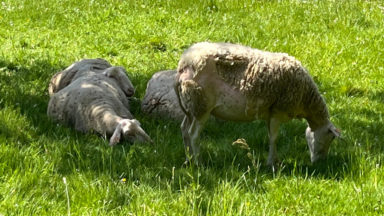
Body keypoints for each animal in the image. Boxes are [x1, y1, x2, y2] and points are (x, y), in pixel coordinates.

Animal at [176, 42, 340, 167]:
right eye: (330, 138)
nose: (319, 163)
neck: (306, 98)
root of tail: (185, 62)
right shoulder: (278, 111)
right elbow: (274, 137)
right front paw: (272, 164)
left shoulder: (270, 113)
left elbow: (270, 136)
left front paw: (275, 161)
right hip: (201, 104)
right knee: (193, 133)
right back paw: (198, 162)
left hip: (191, 106)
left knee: (184, 129)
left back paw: (188, 159)